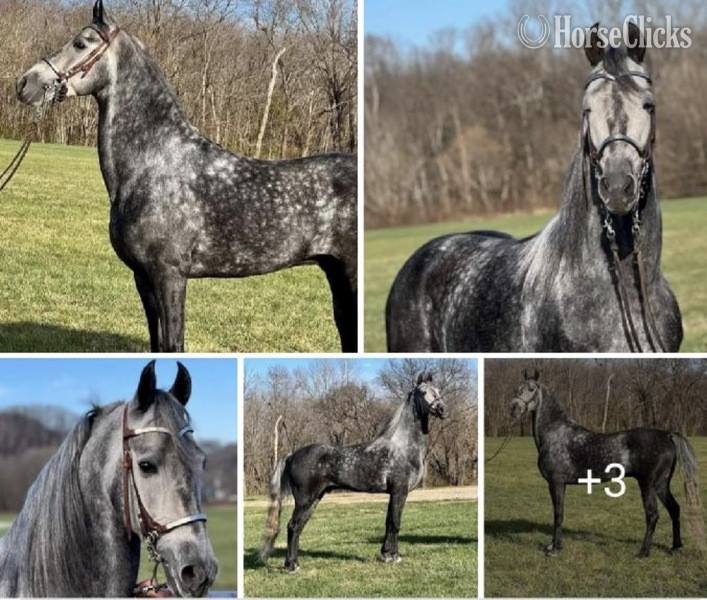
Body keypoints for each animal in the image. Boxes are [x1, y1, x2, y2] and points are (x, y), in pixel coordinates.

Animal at [16, 0, 357, 352]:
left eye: (81, 43)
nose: (26, 83)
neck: (152, 164)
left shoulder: (169, 275)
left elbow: (173, 344)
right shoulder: (143, 278)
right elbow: (158, 343)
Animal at [259, 372, 446, 572]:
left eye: (438, 390)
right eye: (423, 392)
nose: (442, 409)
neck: (402, 447)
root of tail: (292, 455)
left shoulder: (393, 494)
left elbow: (388, 521)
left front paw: (386, 554)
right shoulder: (399, 491)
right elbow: (395, 523)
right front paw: (394, 556)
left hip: (314, 499)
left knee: (298, 527)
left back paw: (293, 563)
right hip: (305, 500)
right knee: (293, 526)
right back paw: (292, 566)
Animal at [509, 369, 704, 557]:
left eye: (531, 389)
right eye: (518, 388)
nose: (514, 409)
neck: (556, 434)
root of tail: (667, 434)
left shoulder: (556, 482)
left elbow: (558, 515)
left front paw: (554, 548)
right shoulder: (560, 484)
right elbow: (559, 514)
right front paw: (552, 545)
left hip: (648, 485)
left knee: (653, 515)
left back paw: (643, 552)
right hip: (662, 484)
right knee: (674, 509)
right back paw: (676, 547)